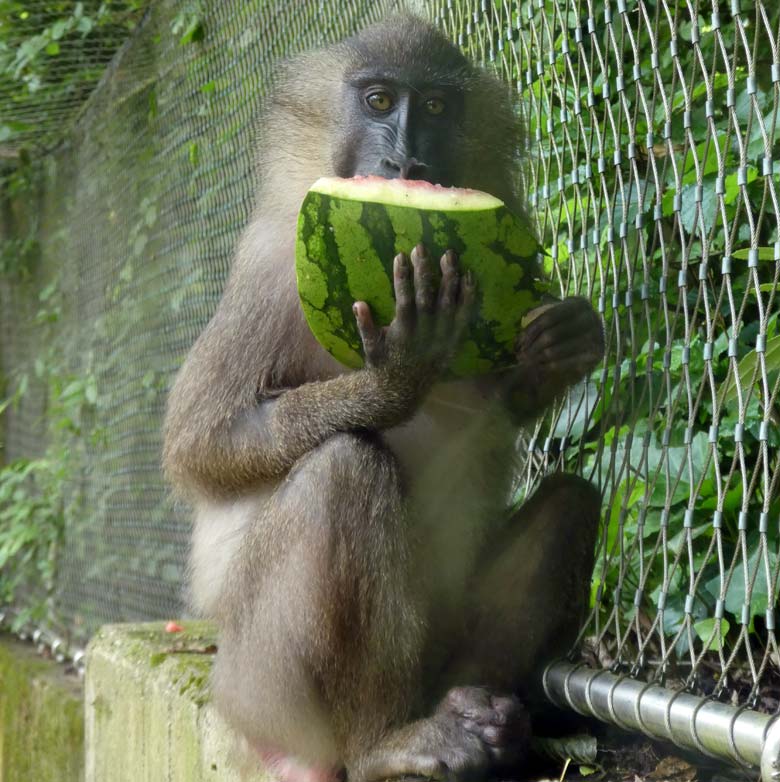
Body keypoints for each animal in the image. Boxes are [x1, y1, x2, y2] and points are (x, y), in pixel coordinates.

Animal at [163, 13, 604, 782]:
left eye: (434, 106)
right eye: (377, 102)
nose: (405, 163)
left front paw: (560, 347)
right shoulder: (267, 268)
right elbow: (198, 444)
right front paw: (389, 380)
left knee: (571, 502)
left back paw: (483, 717)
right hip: (261, 687)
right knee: (344, 472)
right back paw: (385, 743)